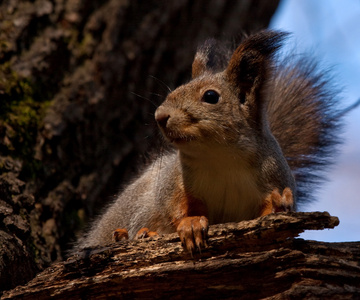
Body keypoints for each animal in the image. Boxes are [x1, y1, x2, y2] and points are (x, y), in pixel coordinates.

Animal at [74, 31, 346, 253]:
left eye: (211, 96)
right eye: (175, 90)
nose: (160, 116)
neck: (221, 157)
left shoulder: (275, 176)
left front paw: (281, 206)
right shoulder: (175, 180)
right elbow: (174, 205)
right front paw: (192, 224)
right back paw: (130, 234)